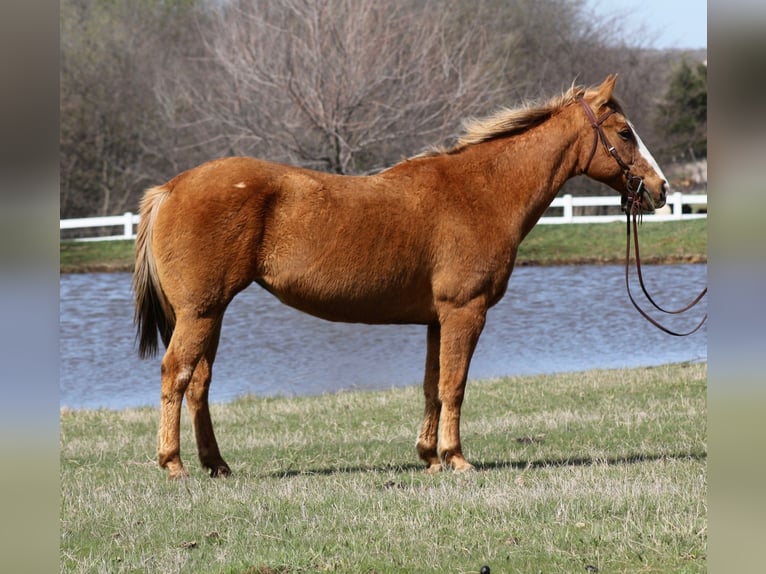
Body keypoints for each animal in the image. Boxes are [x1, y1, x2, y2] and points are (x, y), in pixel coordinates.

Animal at [134, 75, 668, 479]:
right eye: (624, 133)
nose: (660, 189)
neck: (481, 191)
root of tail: (171, 188)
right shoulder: (465, 313)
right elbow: (455, 385)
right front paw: (456, 458)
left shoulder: (436, 320)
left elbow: (433, 385)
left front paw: (430, 457)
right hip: (201, 311)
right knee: (176, 373)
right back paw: (173, 463)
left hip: (211, 313)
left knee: (199, 382)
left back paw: (216, 464)